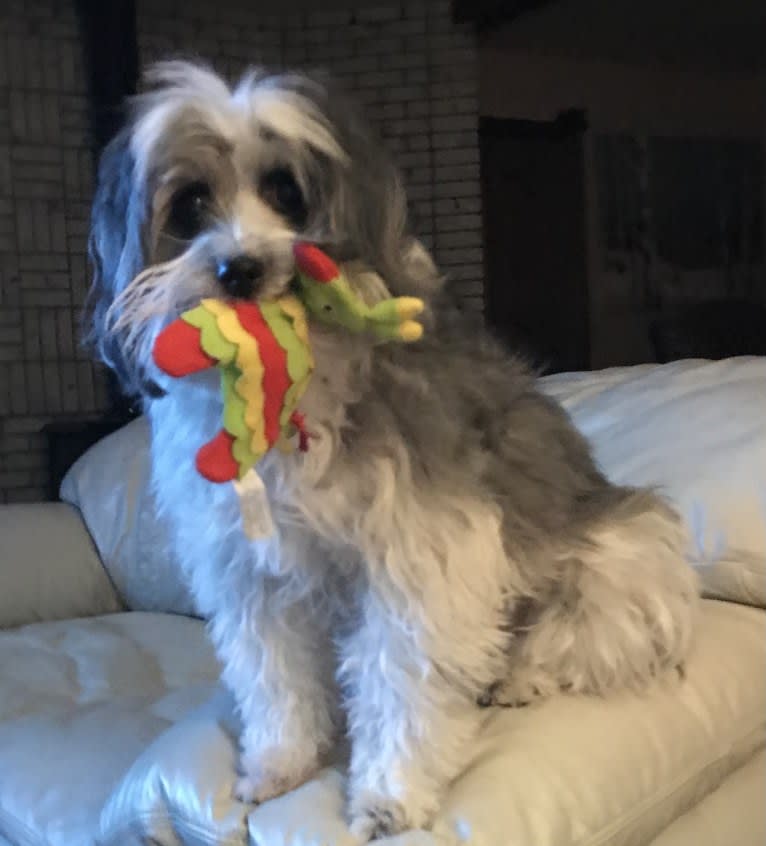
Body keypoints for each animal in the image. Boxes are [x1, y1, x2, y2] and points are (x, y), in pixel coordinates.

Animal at [85, 59, 704, 840]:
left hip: (626, 549)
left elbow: (401, 683)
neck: (295, 393)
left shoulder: (422, 554)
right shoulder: (250, 574)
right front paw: (282, 761)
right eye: (191, 204)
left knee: (574, 634)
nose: (239, 270)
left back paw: (521, 674)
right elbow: (276, 677)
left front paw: (391, 793)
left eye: (286, 191)